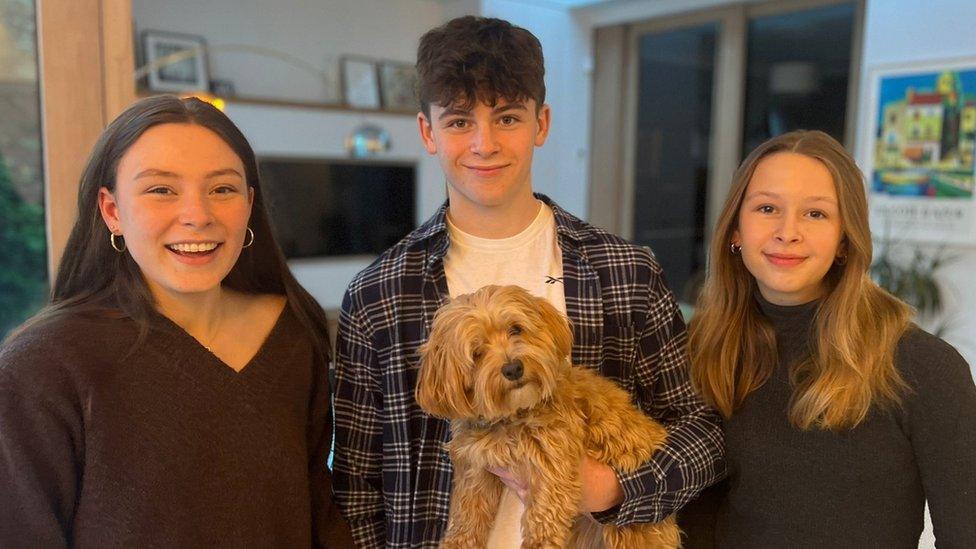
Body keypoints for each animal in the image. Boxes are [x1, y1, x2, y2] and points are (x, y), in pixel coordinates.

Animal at [416, 284, 684, 548]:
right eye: (477, 352)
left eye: (516, 329)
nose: (513, 368)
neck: (512, 416)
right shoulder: (478, 464)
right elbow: (469, 509)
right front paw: (458, 541)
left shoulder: (552, 462)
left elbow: (545, 515)